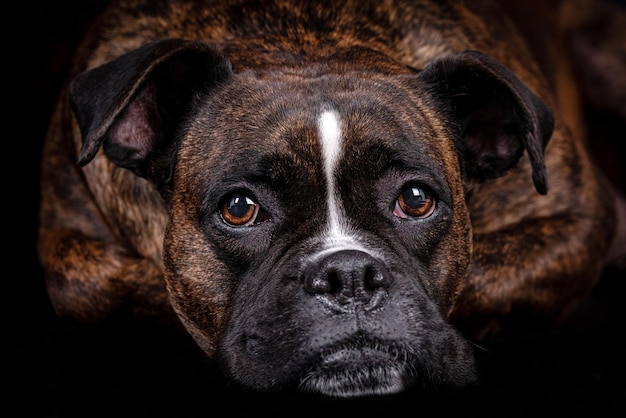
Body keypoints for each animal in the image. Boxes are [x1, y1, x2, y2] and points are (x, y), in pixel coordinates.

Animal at [39, 0, 624, 398]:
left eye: (416, 199)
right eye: (239, 208)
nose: (349, 275)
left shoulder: (583, 217)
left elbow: (485, 277)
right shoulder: (63, 244)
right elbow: (101, 283)